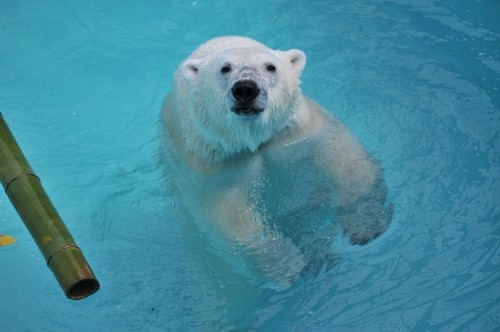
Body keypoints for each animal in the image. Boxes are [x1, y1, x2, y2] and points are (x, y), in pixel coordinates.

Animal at [162, 35, 392, 286]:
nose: (246, 89)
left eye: (270, 67)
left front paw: (365, 225)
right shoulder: (214, 157)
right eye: (225, 68)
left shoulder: (294, 131)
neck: (253, 138)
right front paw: (288, 265)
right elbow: (227, 212)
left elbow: (347, 162)